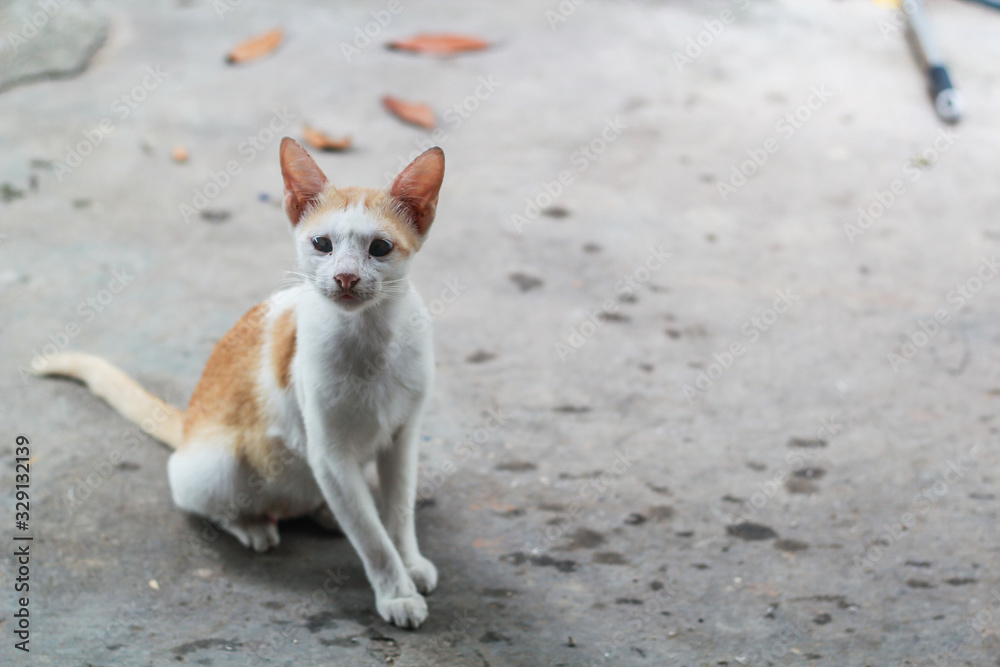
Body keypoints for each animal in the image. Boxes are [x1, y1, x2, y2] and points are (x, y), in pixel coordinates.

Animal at [38, 138, 446, 628]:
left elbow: (398, 512)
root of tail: (189, 424)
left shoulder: (403, 437)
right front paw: (396, 591)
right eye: (322, 244)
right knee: (201, 498)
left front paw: (410, 561)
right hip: (216, 464)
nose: (345, 277)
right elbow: (370, 537)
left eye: (380, 248)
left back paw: (326, 511)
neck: (370, 338)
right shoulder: (328, 453)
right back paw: (253, 525)